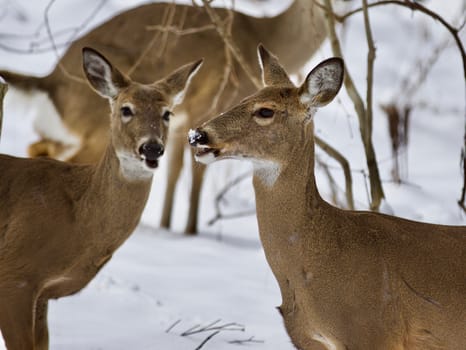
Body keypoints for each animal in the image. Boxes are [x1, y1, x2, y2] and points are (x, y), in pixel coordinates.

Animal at [0, 1, 328, 235]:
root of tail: (49, 81)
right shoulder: (208, 107)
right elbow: (195, 173)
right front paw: (190, 231)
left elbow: (173, 171)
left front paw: (166, 226)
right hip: (96, 129)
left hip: (63, 132)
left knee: (38, 149)